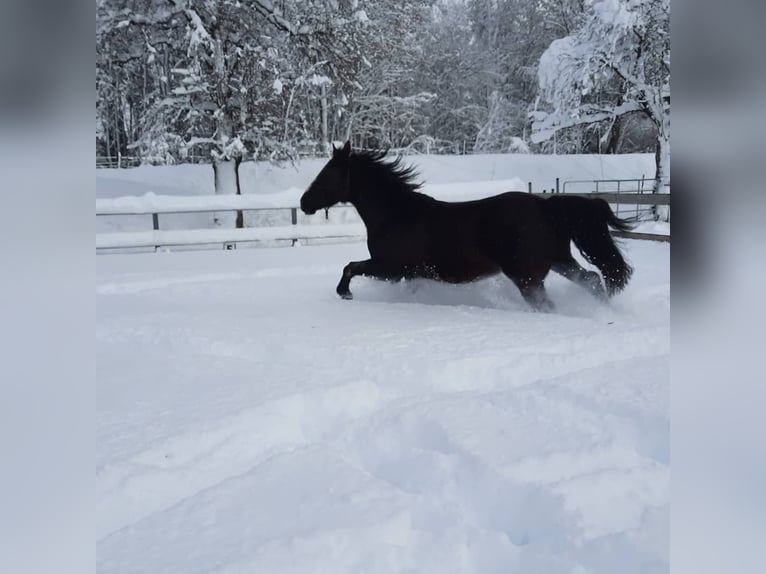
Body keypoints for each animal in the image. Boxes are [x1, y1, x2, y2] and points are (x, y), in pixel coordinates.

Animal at [302, 144, 636, 316]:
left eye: (326, 175)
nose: (304, 203)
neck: (396, 214)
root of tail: (547, 208)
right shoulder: (409, 274)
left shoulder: (391, 267)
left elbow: (350, 266)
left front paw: (344, 293)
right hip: (557, 261)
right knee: (592, 279)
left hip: (528, 278)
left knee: (551, 303)